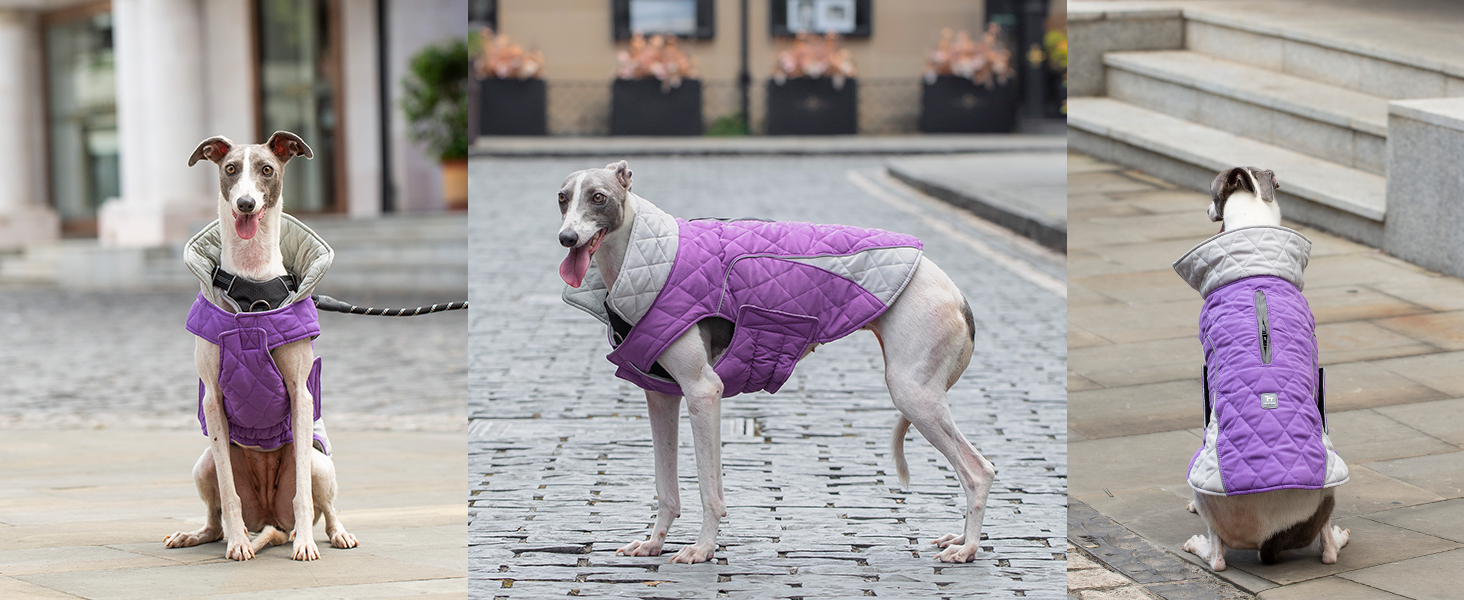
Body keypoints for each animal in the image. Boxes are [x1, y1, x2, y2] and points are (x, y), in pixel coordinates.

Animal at [163, 133, 357, 559]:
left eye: (267, 169)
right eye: (230, 169)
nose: (246, 204)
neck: (252, 289)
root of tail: (271, 520)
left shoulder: (300, 395)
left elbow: (303, 494)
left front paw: (305, 545)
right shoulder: (213, 399)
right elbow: (228, 493)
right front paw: (238, 542)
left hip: (319, 463)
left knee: (325, 505)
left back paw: (331, 534)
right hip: (203, 464)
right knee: (214, 518)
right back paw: (197, 535)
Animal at [556, 159, 995, 561]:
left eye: (598, 197)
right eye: (562, 197)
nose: (567, 238)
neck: (645, 256)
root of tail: (953, 291)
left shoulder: (703, 392)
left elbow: (709, 489)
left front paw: (703, 549)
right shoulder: (661, 398)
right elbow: (667, 489)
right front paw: (653, 543)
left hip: (912, 393)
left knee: (978, 471)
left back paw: (968, 548)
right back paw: (959, 538)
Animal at [1177, 166, 1346, 570]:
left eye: (1212, 190)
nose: (1206, 210)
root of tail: (1273, 536)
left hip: (1206, 484)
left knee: (1217, 556)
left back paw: (1199, 544)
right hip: (1329, 491)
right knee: (1328, 551)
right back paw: (1338, 538)